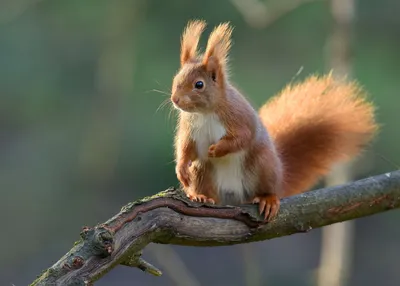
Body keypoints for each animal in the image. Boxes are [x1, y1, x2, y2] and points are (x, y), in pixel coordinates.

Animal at [170, 20, 378, 221]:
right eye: (176, 79)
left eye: (199, 84)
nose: (175, 99)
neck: (204, 113)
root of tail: (234, 196)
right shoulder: (189, 128)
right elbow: (185, 147)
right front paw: (181, 169)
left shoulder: (239, 117)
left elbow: (243, 137)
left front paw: (217, 149)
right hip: (202, 170)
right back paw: (201, 196)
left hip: (263, 164)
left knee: (267, 188)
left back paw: (267, 199)